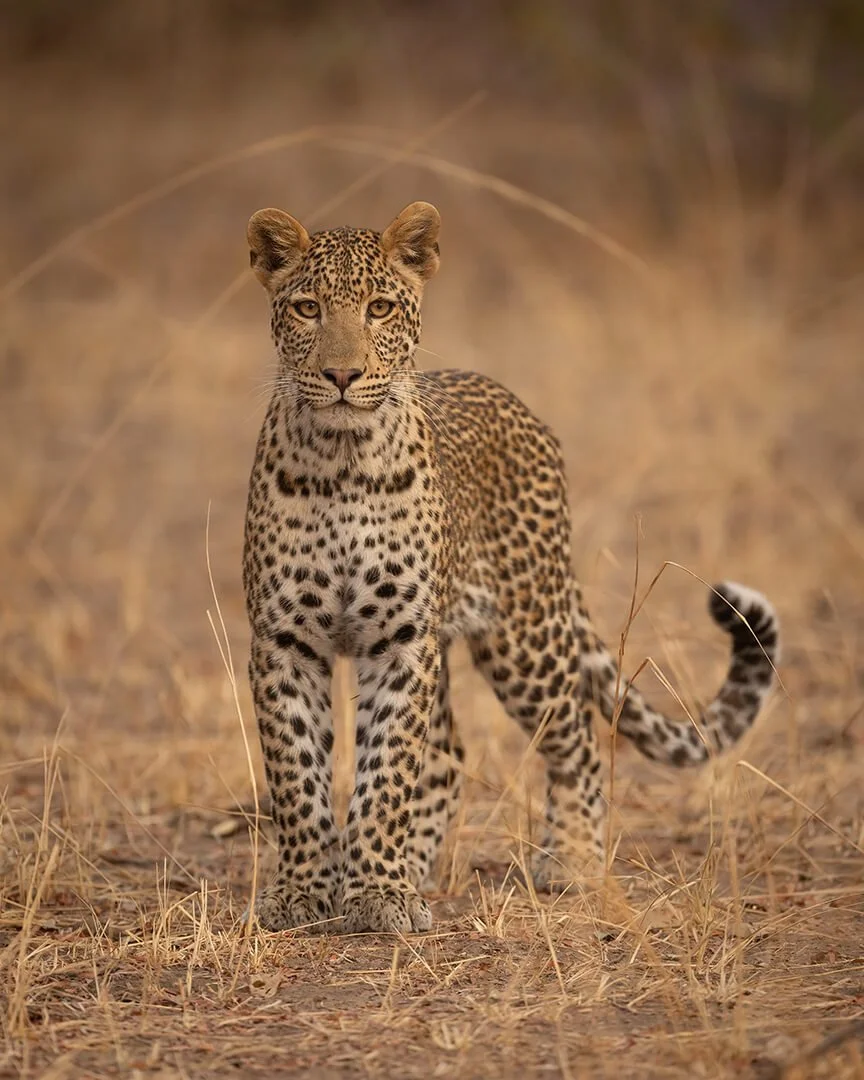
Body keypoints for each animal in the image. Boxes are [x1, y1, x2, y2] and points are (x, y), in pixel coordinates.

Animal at [242, 200, 780, 935]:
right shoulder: (284, 641)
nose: (343, 376)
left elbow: (388, 773)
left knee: (576, 738)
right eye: (306, 309)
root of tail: (517, 405)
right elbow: (298, 775)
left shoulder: (401, 644)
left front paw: (378, 893)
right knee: (447, 758)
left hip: (525, 637)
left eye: (379, 308)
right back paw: (419, 866)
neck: (342, 459)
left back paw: (571, 861)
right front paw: (303, 892)